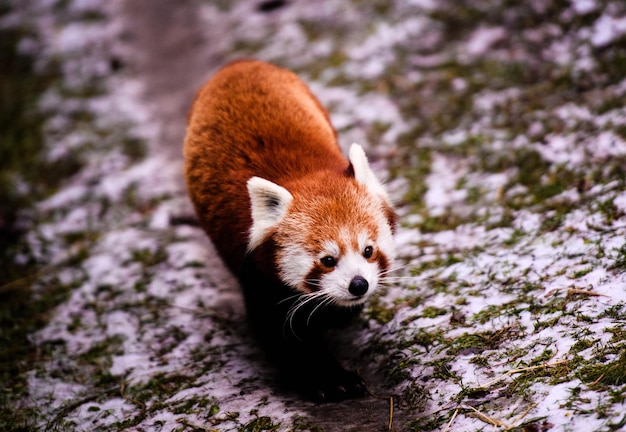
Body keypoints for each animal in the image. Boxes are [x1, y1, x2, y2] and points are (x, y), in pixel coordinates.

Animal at [183, 59, 394, 400]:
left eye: (368, 250)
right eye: (327, 260)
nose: (358, 285)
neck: (303, 174)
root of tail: (238, 64)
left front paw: (340, 318)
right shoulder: (255, 272)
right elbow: (282, 335)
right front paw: (328, 378)